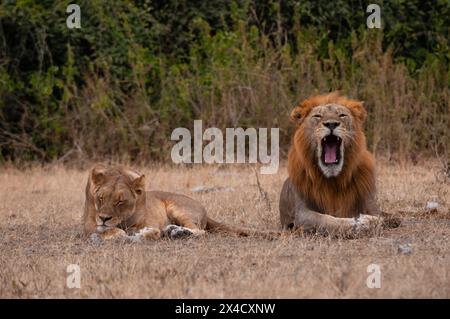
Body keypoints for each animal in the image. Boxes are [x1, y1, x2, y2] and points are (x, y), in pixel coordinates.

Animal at [82, 165, 276, 240]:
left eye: (120, 201)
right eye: (101, 198)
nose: (104, 218)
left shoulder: (148, 222)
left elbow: (149, 231)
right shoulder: (89, 224)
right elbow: (111, 231)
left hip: (178, 208)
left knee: (200, 231)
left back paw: (177, 232)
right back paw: (173, 230)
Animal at [278, 92, 400, 238]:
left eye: (342, 115)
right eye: (317, 116)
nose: (331, 124)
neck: (333, 179)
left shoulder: (372, 206)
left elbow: (379, 219)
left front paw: (367, 222)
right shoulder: (301, 214)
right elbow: (326, 220)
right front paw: (356, 224)